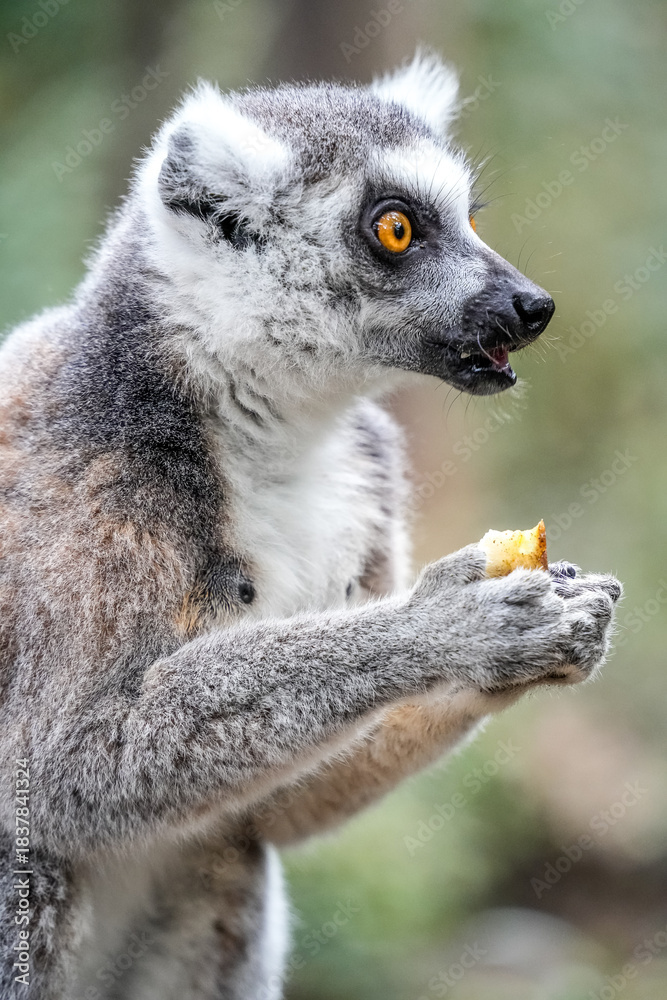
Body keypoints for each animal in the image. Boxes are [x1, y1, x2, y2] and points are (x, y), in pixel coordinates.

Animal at [0, 51, 621, 999]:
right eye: (396, 228)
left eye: (470, 218)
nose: (531, 306)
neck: (274, 428)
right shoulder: (87, 488)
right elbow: (60, 763)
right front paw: (444, 629)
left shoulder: (372, 473)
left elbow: (273, 806)